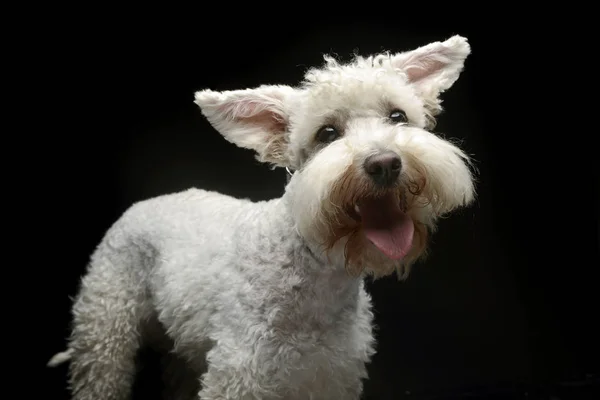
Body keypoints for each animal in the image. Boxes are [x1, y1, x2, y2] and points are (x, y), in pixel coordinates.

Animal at [49, 35, 476, 400]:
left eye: (397, 116)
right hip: (104, 328)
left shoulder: (333, 376)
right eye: (327, 133)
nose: (385, 163)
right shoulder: (238, 374)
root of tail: (141, 205)